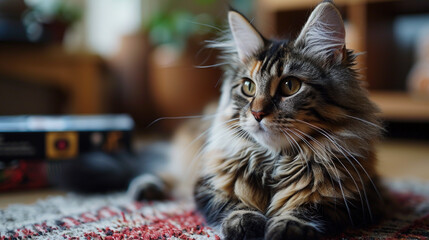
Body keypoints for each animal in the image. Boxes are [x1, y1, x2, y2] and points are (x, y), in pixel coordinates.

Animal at [127, 0, 384, 239]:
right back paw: (145, 187)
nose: (257, 114)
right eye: (248, 87)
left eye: (290, 86)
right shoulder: (208, 185)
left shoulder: (355, 198)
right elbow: (233, 204)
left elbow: (308, 207)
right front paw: (244, 224)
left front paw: (288, 227)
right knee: (169, 172)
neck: (275, 161)